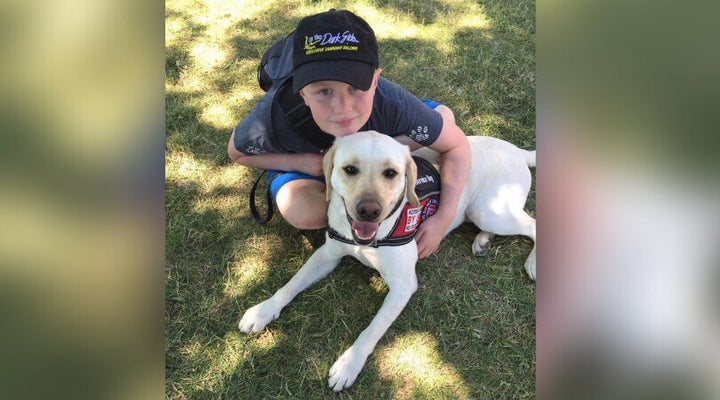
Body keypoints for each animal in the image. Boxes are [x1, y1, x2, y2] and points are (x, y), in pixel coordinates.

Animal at [238, 130, 536, 390]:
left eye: (391, 173)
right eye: (350, 169)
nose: (369, 210)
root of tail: (515, 149)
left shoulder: (403, 286)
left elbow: (372, 329)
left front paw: (348, 364)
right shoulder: (327, 254)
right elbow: (291, 283)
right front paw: (263, 310)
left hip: (488, 210)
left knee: (532, 225)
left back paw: (531, 262)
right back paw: (483, 241)